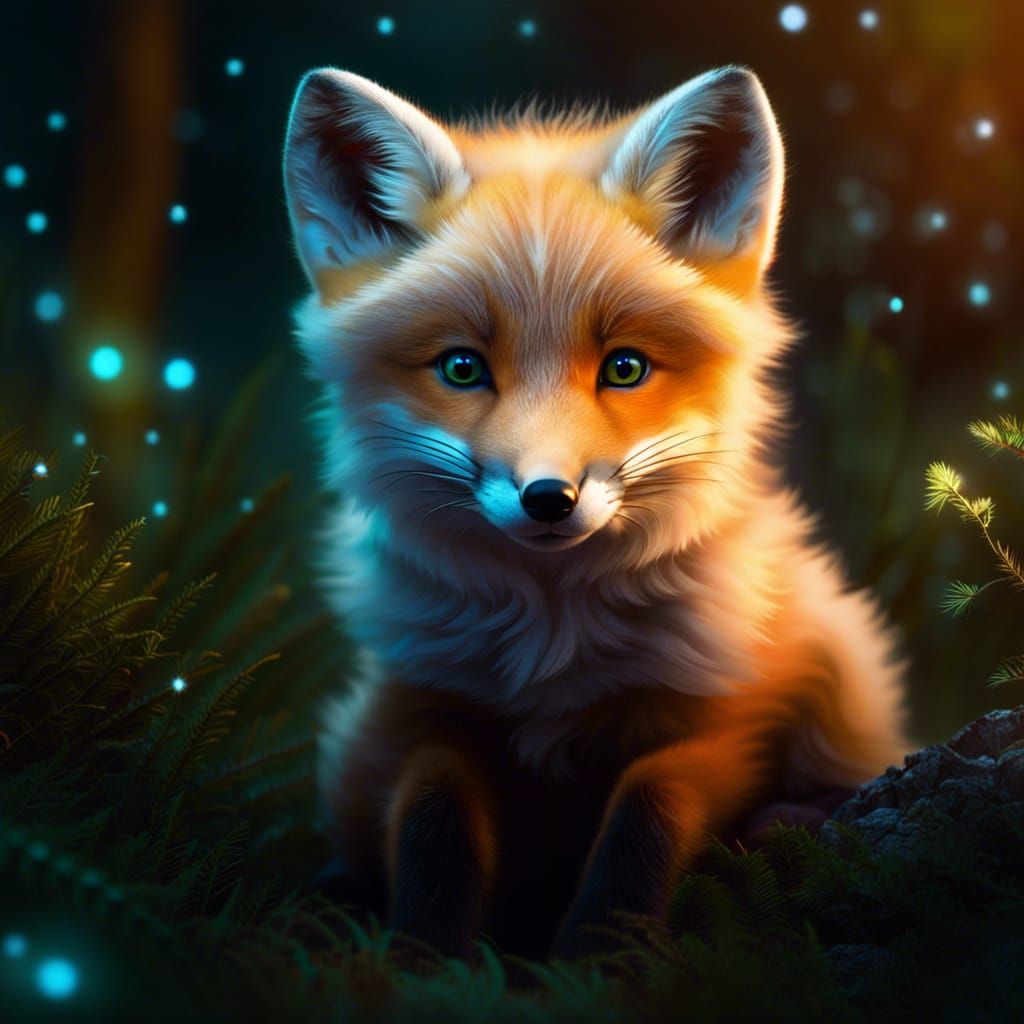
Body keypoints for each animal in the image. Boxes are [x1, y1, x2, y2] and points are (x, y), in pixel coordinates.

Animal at [282, 65, 909, 960]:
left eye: (624, 368)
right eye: (463, 368)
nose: (549, 498)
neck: (555, 654)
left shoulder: (735, 716)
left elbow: (648, 806)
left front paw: (602, 952)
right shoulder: (422, 710)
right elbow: (434, 820)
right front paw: (424, 954)